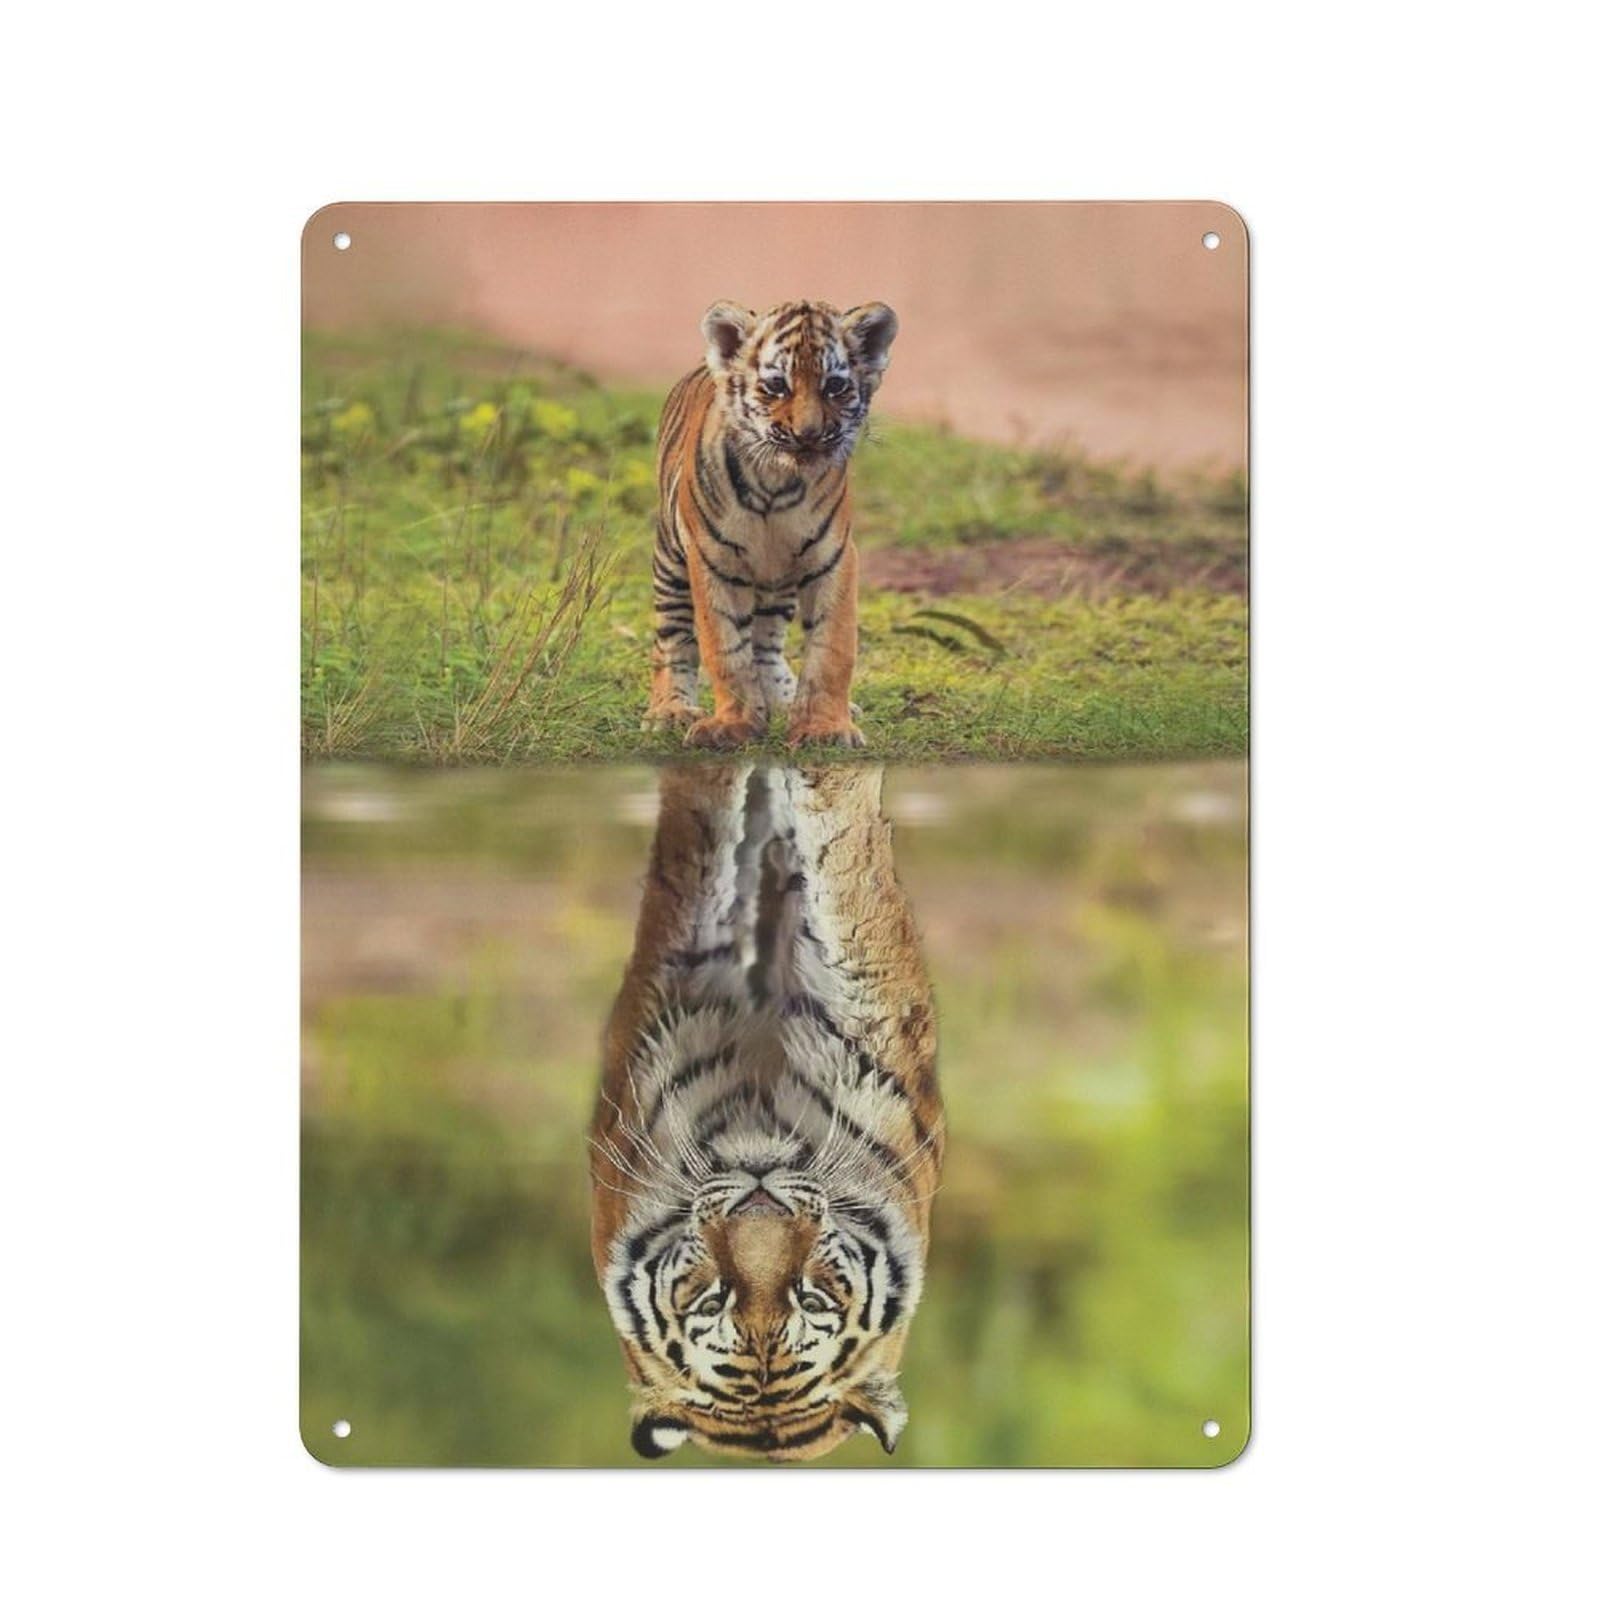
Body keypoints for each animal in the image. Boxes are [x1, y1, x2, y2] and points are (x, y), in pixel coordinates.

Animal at [642, 299, 899, 750]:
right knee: (672, 639)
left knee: (767, 644)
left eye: (835, 386)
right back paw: (670, 711)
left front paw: (825, 728)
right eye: (777, 385)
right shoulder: (711, 560)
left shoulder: (833, 557)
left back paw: (783, 701)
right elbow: (725, 649)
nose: (808, 434)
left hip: (777, 584)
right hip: (671, 563)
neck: (776, 484)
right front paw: (733, 725)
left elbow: (832, 648)